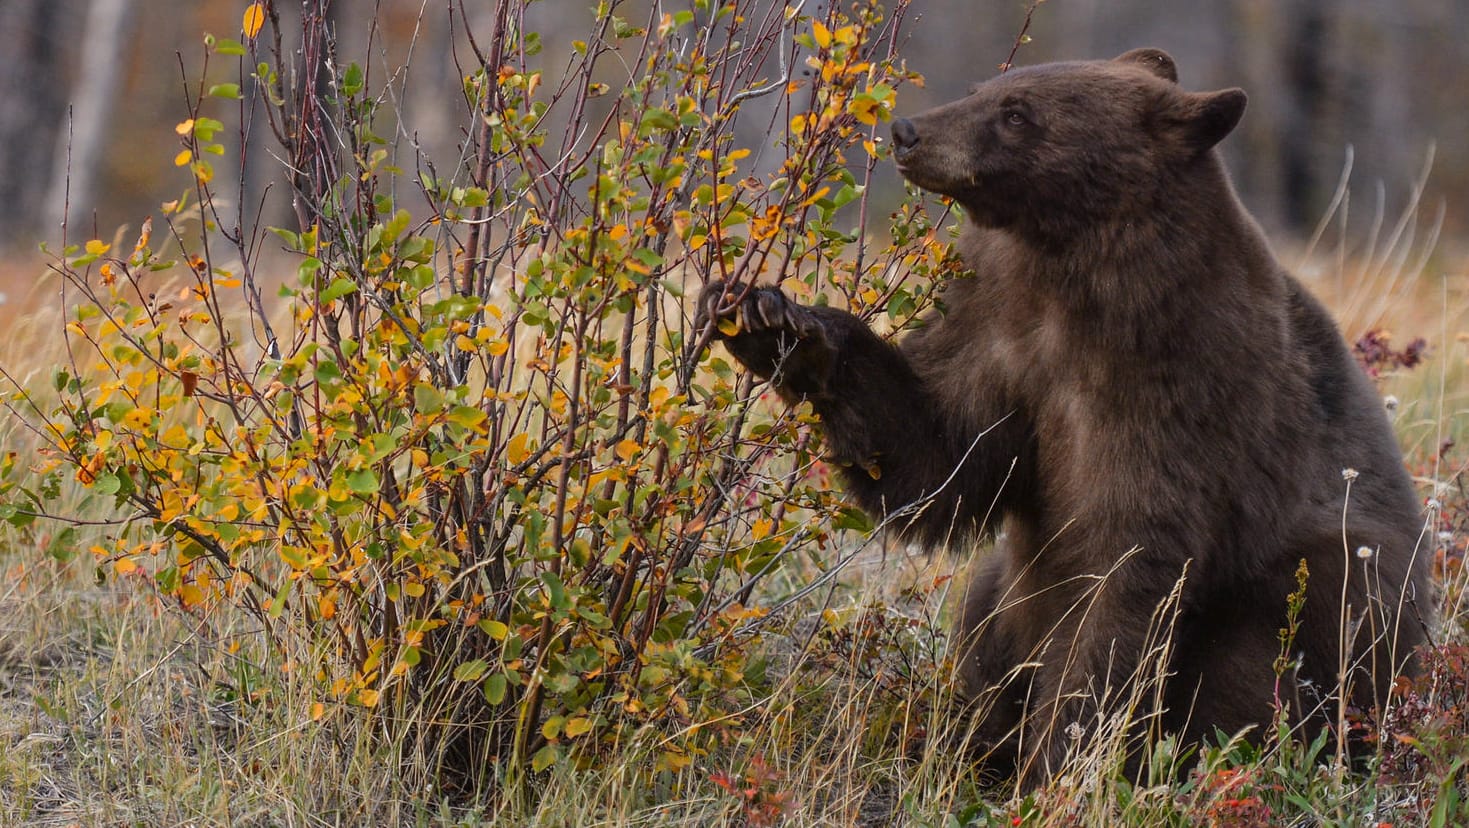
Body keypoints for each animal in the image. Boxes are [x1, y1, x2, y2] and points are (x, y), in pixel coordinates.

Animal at [699, 48, 1433, 786]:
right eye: (985, 88)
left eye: (1017, 113)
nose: (909, 132)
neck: (1070, 267)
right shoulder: (997, 324)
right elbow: (936, 455)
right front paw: (767, 317)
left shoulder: (1175, 386)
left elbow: (1121, 565)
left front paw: (1057, 763)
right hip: (1005, 587)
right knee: (986, 611)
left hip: (1326, 588)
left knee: (1271, 656)